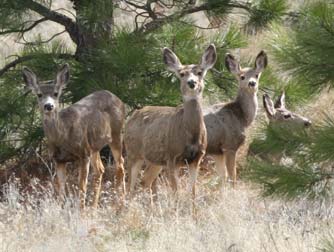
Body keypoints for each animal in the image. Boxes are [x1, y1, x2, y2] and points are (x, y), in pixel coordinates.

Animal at [22, 65, 126, 209]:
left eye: (56, 93)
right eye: (39, 94)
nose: (49, 106)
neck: (62, 137)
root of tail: (117, 98)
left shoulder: (83, 153)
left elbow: (81, 187)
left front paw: (81, 211)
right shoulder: (58, 159)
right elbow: (60, 189)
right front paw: (60, 209)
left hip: (116, 133)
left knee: (120, 165)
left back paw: (120, 204)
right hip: (94, 146)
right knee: (100, 169)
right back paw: (94, 207)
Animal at [124, 44, 217, 199]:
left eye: (199, 72)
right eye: (182, 74)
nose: (192, 82)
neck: (190, 136)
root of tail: (130, 117)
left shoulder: (197, 158)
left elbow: (193, 192)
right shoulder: (172, 157)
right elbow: (176, 193)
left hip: (155, 160)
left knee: (145, 180)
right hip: (133, 151)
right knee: (129, 185)